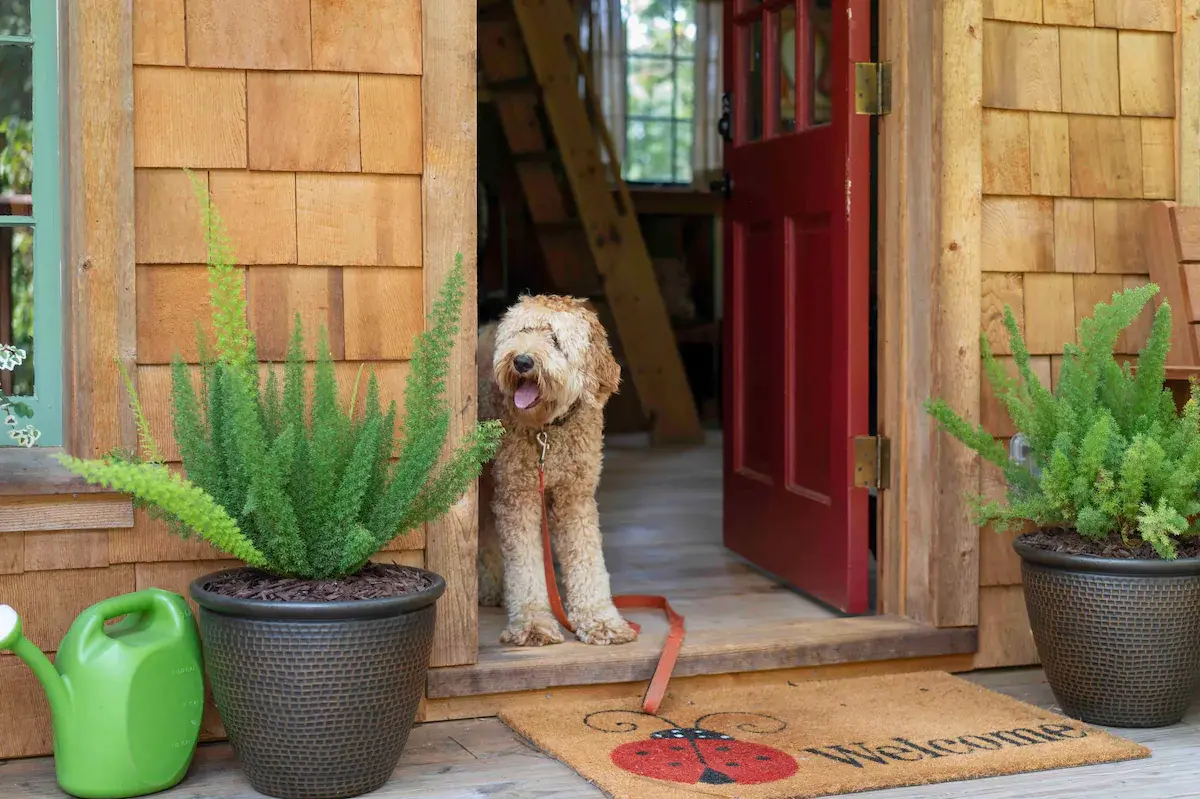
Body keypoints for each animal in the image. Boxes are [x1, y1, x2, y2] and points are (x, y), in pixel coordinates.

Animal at [475, 295, 638, 643]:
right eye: (522, 332)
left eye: (555, 340)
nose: (522, 361)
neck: (548, 431)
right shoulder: (518, 494)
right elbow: (524, 565)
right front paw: (533, 624)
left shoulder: (575, 497)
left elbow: (587, 558)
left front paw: (600, 619)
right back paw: (491, 587)